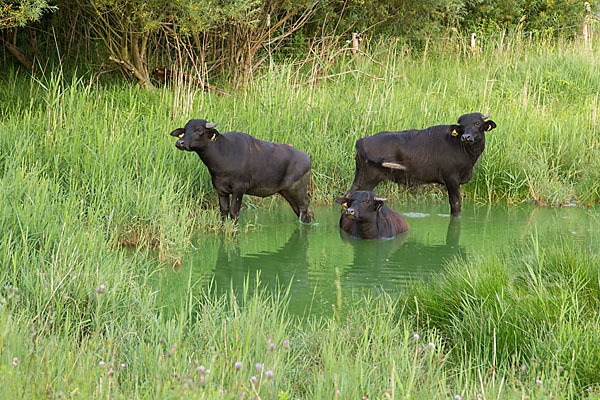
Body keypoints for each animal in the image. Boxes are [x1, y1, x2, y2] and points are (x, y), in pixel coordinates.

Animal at [171, 120, 314, 223]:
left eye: (199, 130)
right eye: (184, 130)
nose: (180, 142)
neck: (223, 154)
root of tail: (307, 158)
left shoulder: (239, 189)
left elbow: (234, 213)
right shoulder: (221, 190)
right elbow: (224, 212)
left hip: (297, 189)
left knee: (304, 205)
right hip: (286, 192)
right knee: (302, 209)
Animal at [346, 112, 496, 217]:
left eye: (477, 123)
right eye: (462, 126)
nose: (466, 137)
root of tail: (362, 140)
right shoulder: (451, 179)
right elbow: (456, 203)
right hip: (367, 178)